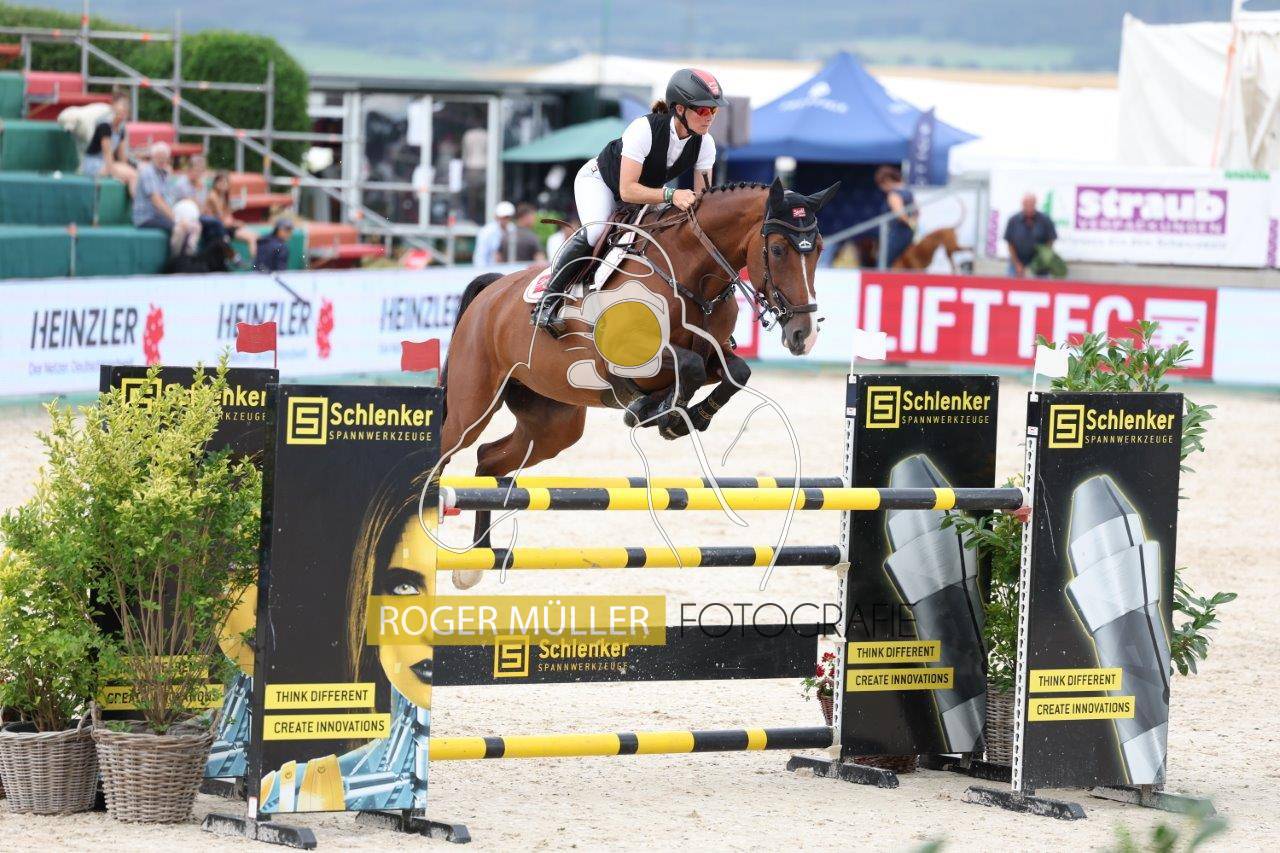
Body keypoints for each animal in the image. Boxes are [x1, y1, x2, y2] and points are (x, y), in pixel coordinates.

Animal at [438, 177, 839, 588]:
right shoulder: (632, 354)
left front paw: (682, 416)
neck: (689, 275)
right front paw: (656, 412)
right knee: (446, 449)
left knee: (488, 460)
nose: (804, 335)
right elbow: (689, 366)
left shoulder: (714, 353)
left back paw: (473, 564)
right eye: (776, 249)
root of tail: (491, 292)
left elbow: (735, 372)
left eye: (819, 249)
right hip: (472, 406)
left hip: (552, 424)